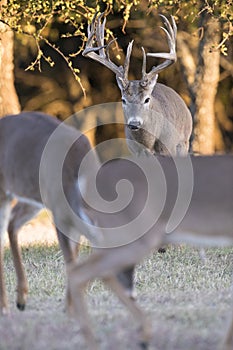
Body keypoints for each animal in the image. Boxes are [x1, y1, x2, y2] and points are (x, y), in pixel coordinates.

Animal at [83, 13, 192, 156]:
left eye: (147, 99)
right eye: (123, 100)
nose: (134, 123)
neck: (149, 145)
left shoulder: (168, 149)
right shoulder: (135, 151)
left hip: (183, 143)